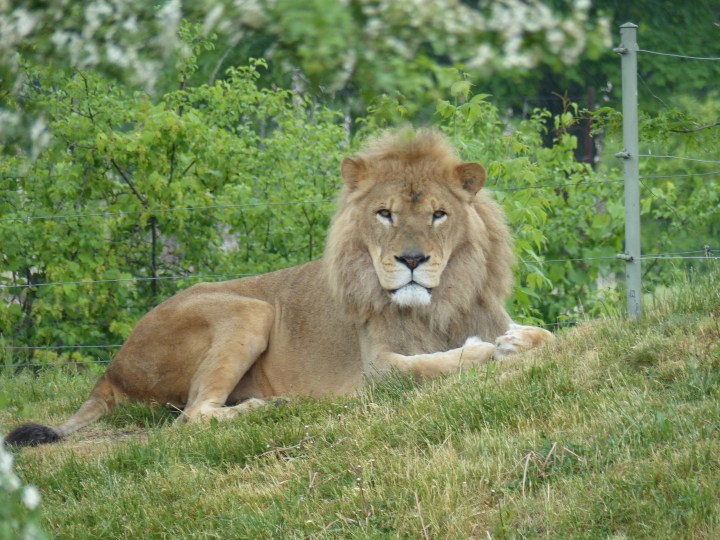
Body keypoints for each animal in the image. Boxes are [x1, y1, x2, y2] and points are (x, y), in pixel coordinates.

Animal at [5, 128, 553, 447]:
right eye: (385, 214)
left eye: (439, 214)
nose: (413, 260)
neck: (436, 305)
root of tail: (111, 368)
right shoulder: (375, 371)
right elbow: (429, 366)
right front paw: (486, 351)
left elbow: (547, 336)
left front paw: (518, 341)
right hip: (249, 310)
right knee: (192, 416)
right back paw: (267, 407)